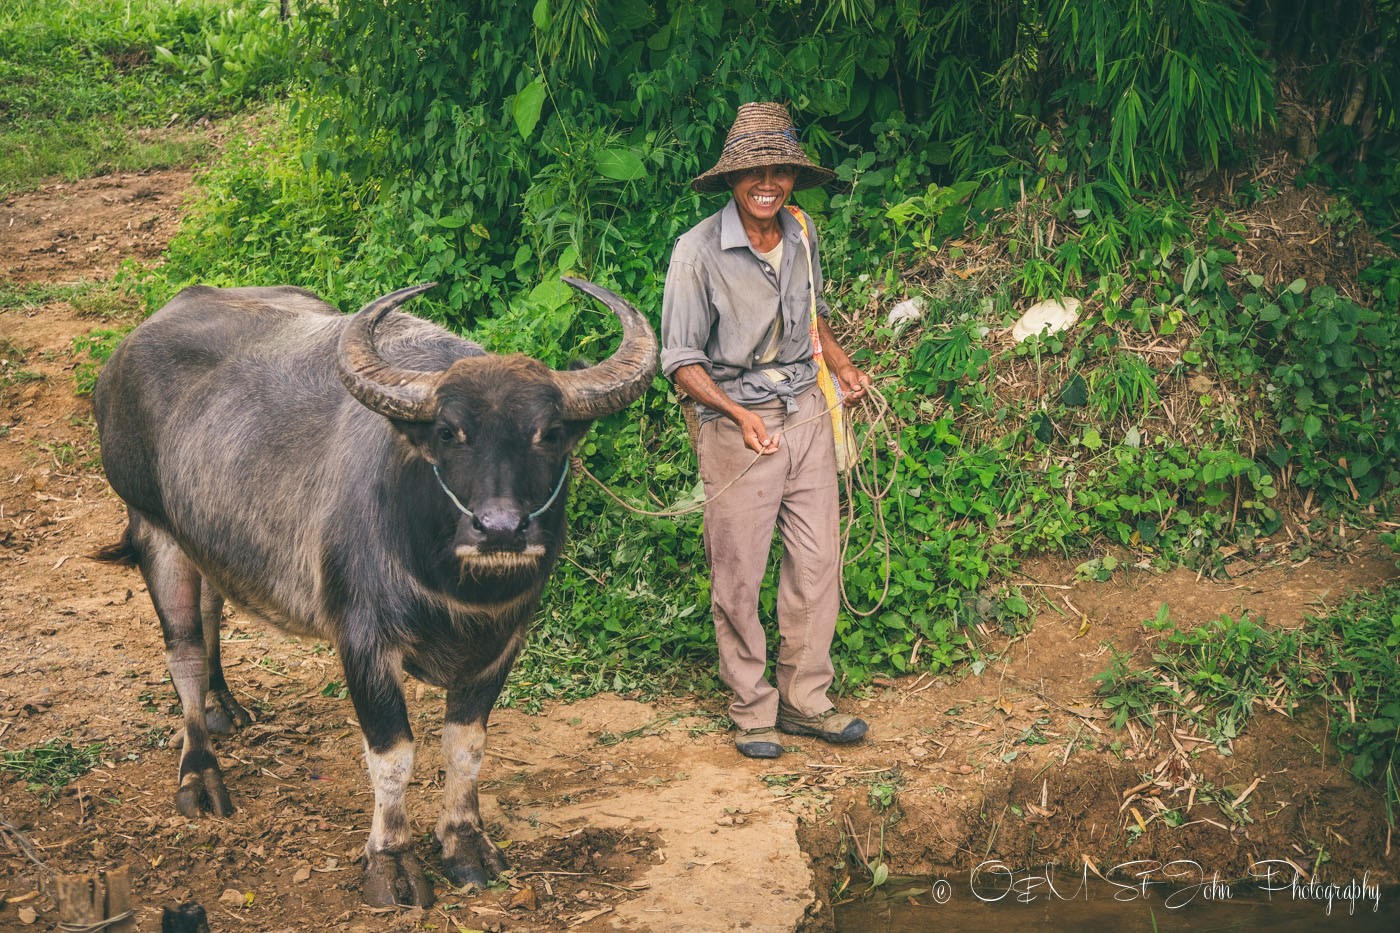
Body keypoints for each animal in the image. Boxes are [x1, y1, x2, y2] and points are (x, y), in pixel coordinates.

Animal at [94, 275, 660, 902]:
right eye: (448, 432)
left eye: (550, 434)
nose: (500, 528)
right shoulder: (363, 644)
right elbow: (394, 755)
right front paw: (390, 862)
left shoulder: (502, 645)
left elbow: (466, 748)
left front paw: (465, 843)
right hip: (153, 526)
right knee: (185, 650)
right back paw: (199, 774)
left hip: (203, 535)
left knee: (213, 607)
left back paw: (226, 706)